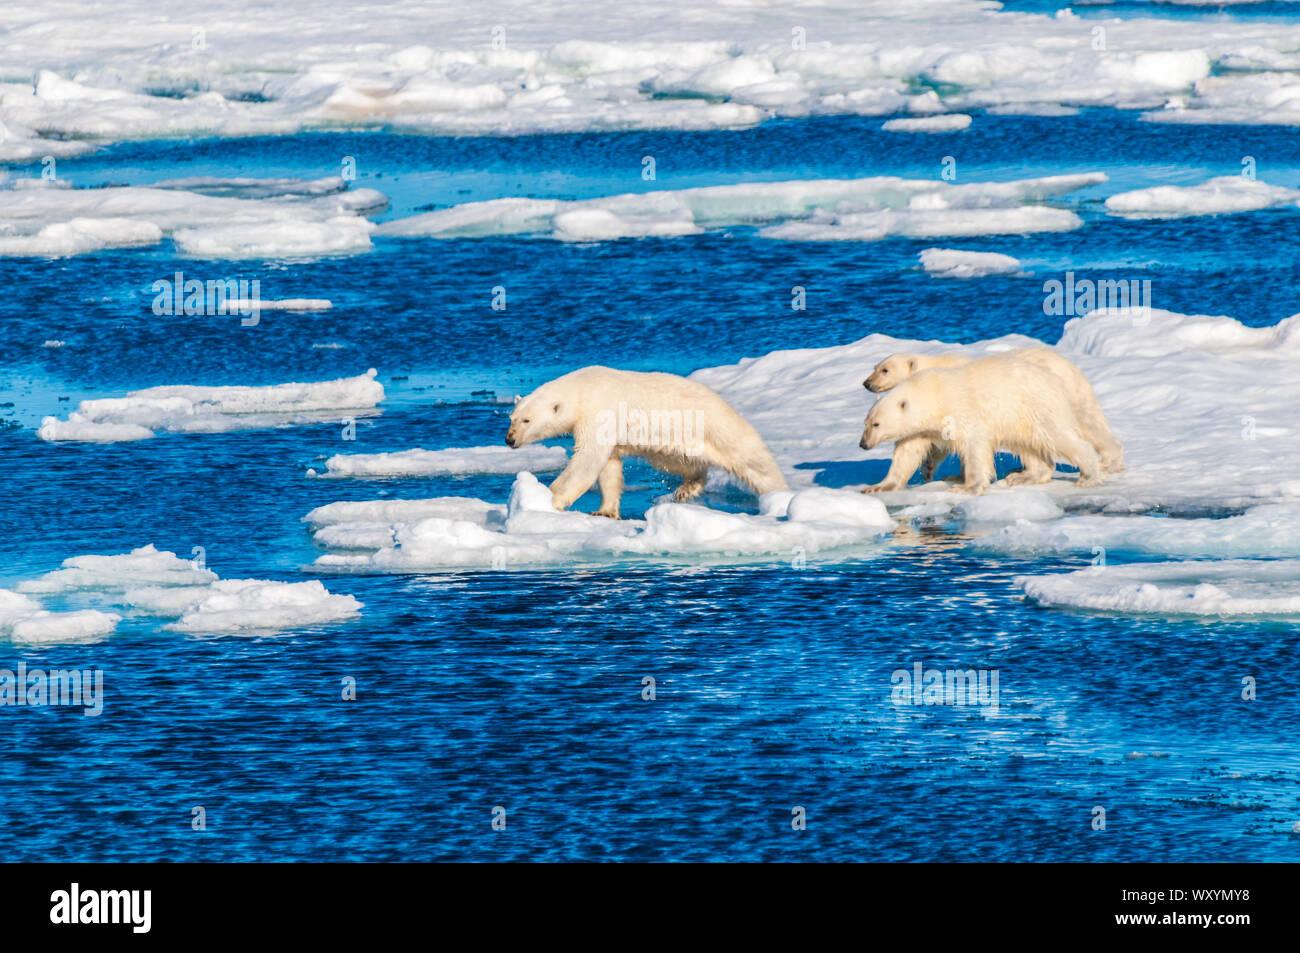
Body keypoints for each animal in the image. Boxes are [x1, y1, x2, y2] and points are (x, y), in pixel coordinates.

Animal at [505, 366, 788, 519]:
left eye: (527, 420)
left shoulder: (599, 412)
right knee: (680, 462)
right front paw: (604, 511)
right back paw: (686, 488)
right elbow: (608, 466)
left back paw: (779, 495)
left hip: (718, 429)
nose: (509, 439)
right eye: (513, 418)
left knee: (755, 463)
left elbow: (587, 460)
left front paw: (548, 499)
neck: (580, 390)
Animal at [861, 348, 1123, 491]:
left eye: (884, 370)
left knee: (1077, 430)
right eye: (875, 367)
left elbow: (971, 444)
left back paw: (1099, 468)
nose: (866, 383)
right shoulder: (924, 426)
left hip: (1045, 405)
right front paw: (885, 484)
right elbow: (912, 449)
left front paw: (962, 481)